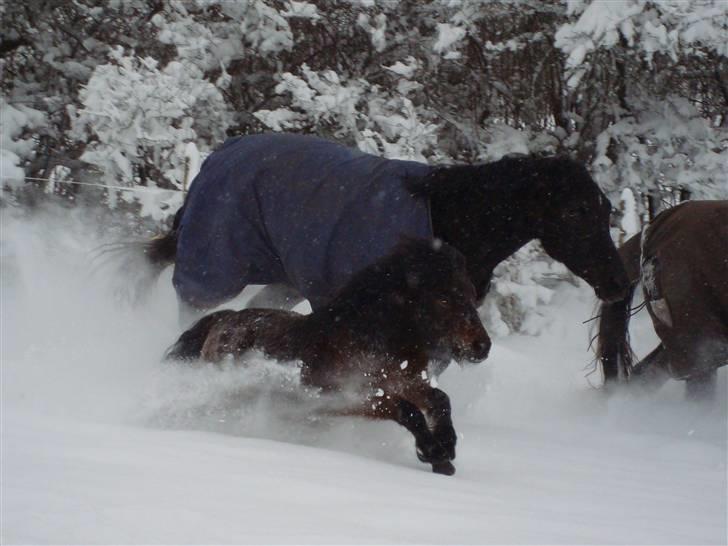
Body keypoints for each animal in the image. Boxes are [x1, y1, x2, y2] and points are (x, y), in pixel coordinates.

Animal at [168, 238, 492, 472]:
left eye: (471, 293)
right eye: (443, 298)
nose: (482, 346)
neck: (367, 338)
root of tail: (224, 319)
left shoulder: (404, 380)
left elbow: (439, 400)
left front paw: (446, 450)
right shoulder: (350, 398)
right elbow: (407, 411)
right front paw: (432, 452)